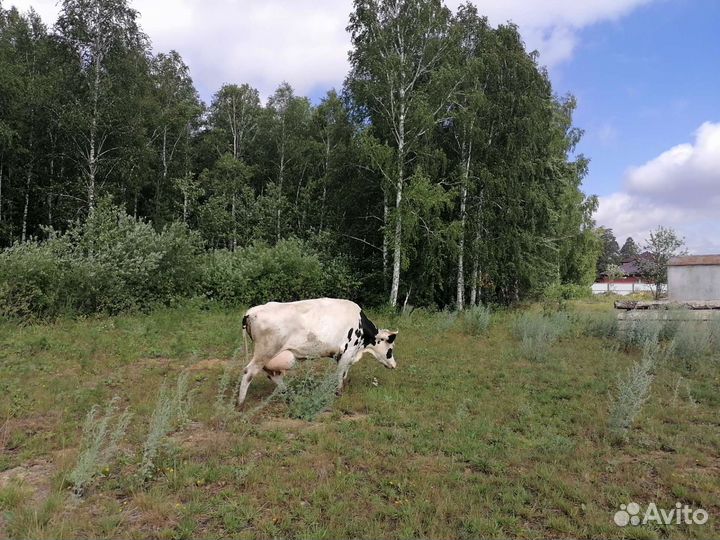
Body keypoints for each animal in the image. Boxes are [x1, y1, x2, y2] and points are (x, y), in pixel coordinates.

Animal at [237, 298, 398, 406]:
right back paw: (240, 403)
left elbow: (344, 373)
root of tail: (251, 312)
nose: (394, 365)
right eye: (391, 348)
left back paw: (288, 392)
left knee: (271, 374)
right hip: (265, 352)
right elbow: (341, 373)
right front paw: (338, 392)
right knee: (249, 372)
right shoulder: (347, 351)